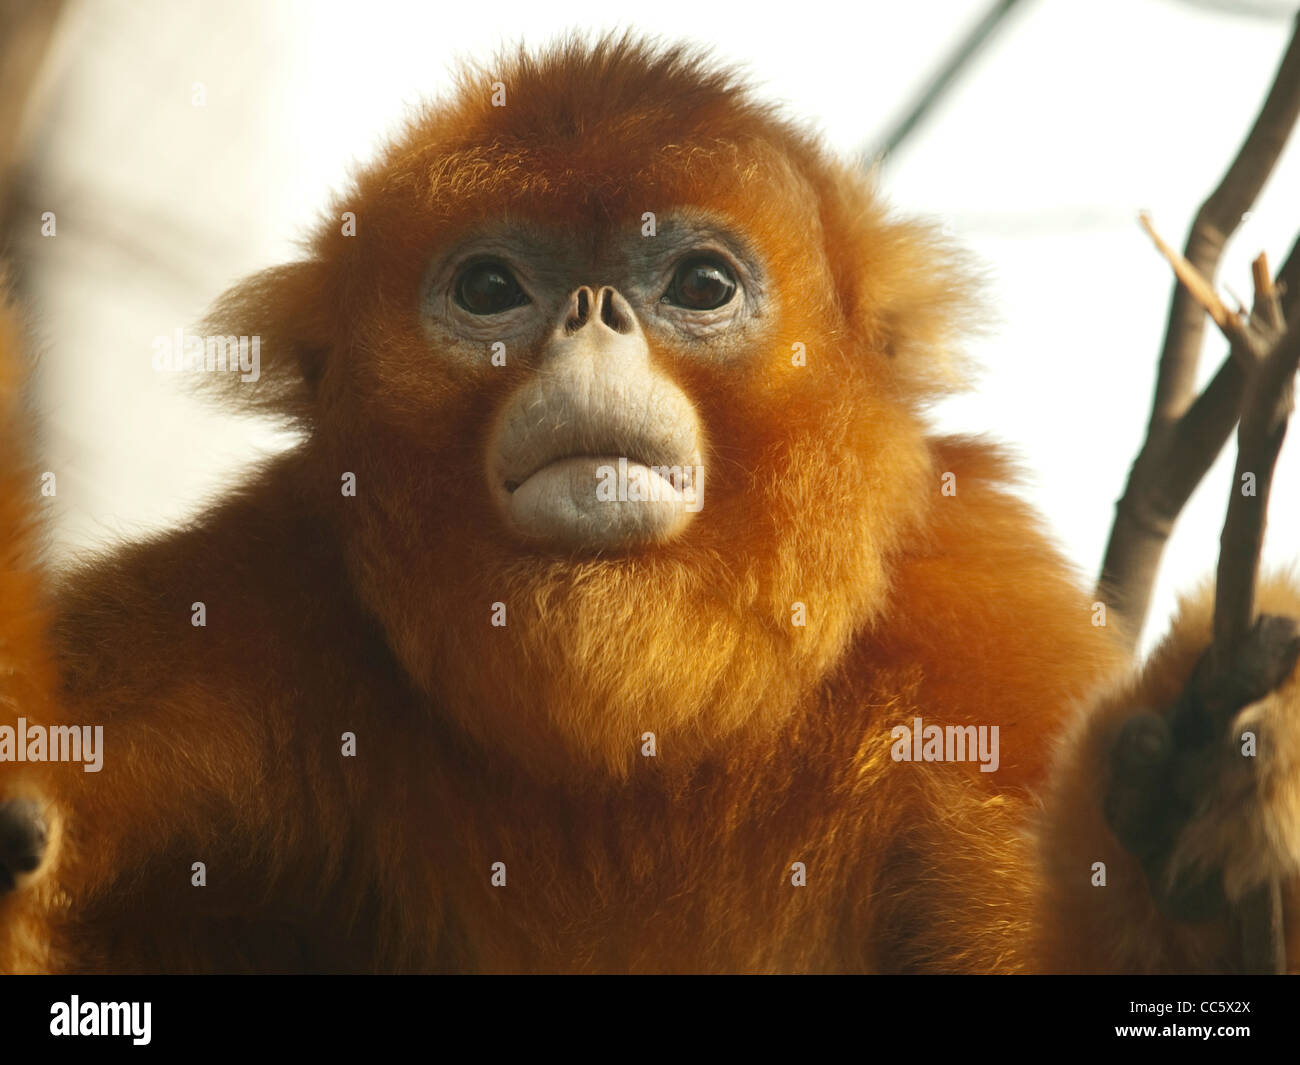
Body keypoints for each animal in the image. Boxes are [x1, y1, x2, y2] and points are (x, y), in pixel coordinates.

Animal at [2, 33, 1300, 973]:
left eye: (700, 285)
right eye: (490, 290)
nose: (590, 317)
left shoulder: (970, 625)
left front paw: (1180, 824)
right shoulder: (243, 608)